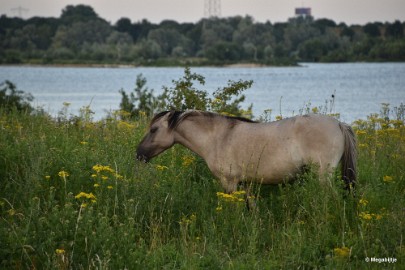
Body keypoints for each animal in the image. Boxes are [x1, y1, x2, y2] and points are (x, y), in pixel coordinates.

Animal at [137, 110, 356, 195]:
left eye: (154, 129)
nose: (139, 154)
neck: (218, 137)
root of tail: (338, 124)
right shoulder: (246, 184)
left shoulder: (230, 183)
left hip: (323, 175)